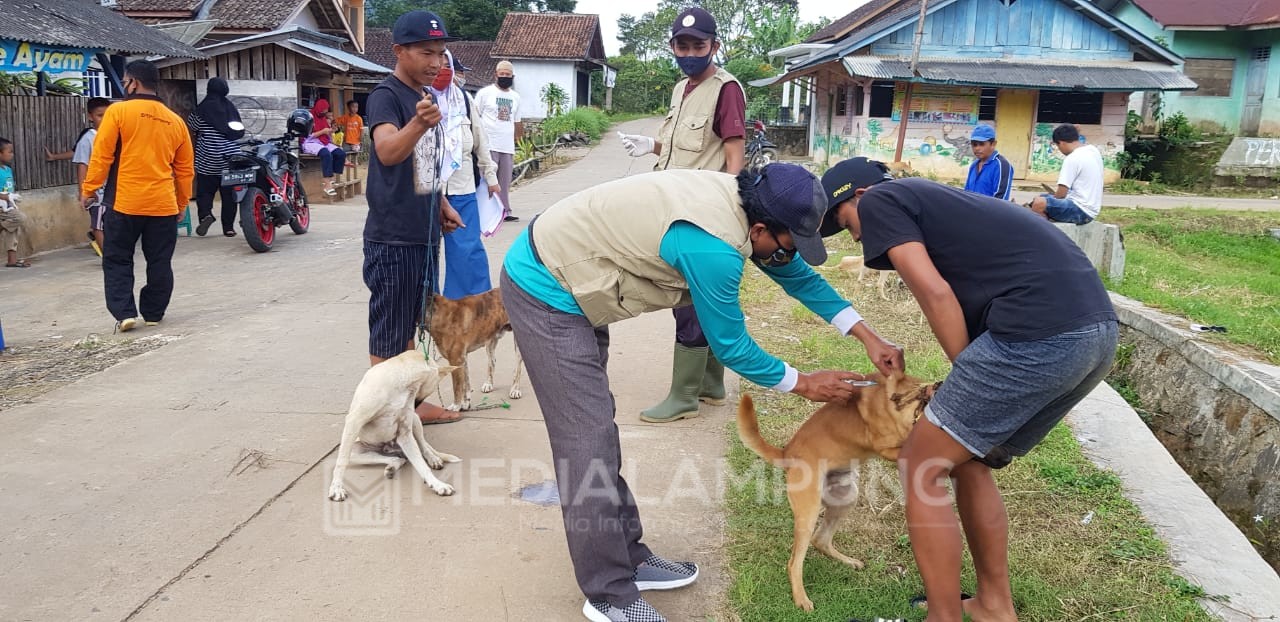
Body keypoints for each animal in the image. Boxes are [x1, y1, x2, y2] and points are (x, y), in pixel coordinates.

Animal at [327, 350, 463, 501]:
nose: (416, 406)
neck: (403, 384)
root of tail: (390, 448)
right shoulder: (354, 421)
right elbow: (342, 461)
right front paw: (336, 488)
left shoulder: (405, 434)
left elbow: (422, 466)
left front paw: (438, 484)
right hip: (356, 453)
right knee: (396, 458)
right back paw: (392, 467)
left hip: (415, 421)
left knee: (422, 447)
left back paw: (432, 458)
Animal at [737, 373, 936, 611]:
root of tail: (787, 454)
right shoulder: (887, 447)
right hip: (808, 514)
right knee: (794, 563)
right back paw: (801, 598)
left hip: (846, 499)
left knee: (821, 540)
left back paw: (848, 561)